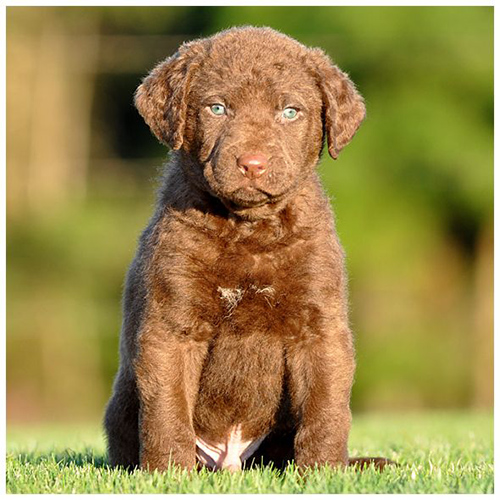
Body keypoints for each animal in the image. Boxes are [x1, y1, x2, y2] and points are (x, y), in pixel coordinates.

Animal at [103, 26, 388, 472]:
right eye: (217, 108)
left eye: (290, 112)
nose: (252, 164)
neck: (249, 229)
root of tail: (231, 459)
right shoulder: (172, 326)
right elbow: (167, 410)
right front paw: (169, 474)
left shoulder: (319, 326)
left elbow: (326, 408)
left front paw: (324, 473)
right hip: (122, 404)